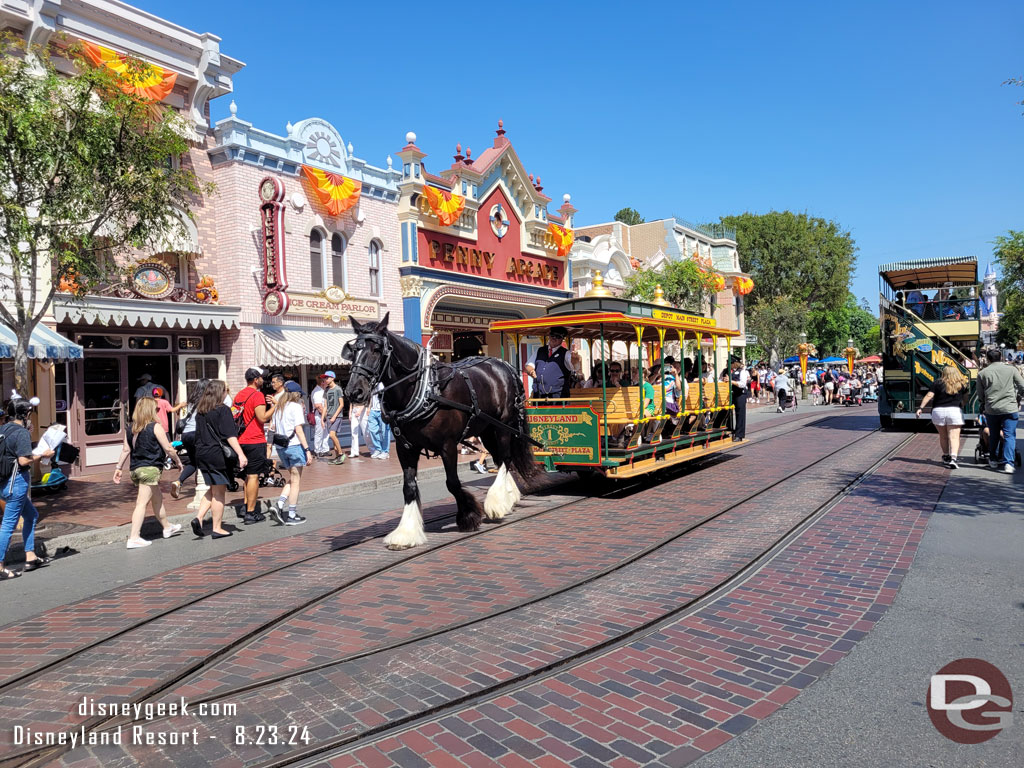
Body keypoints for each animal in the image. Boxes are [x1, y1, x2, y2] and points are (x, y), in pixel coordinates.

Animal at [344, 315, 540, 548]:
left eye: (376, 349)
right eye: (353, 350)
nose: (354, 391)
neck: (424, 390)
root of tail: (504, 365)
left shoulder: (448, 445)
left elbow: (452, 483)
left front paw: (468, 515)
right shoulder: (404, 447)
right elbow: (409, 486)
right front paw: (406, 533)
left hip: (504, 425)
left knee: (506, 459)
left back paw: (496, 504)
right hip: (486, 429)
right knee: (501, 459)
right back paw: (508, 498)